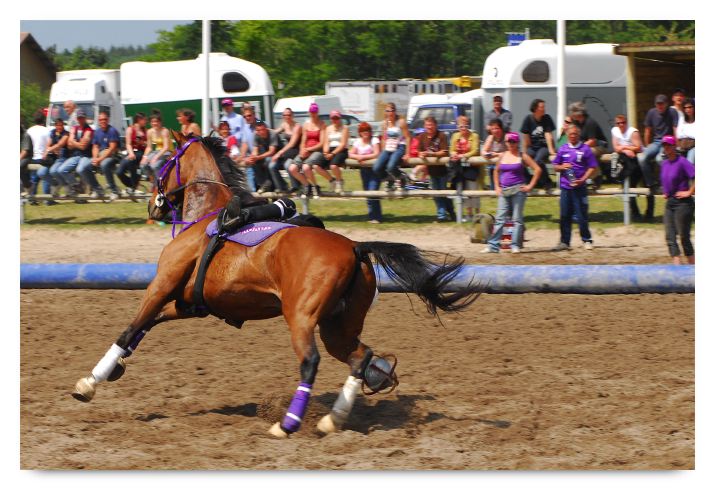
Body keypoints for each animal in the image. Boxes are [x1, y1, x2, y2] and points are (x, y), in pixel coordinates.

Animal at [71, 131, 481, 438]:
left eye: (166, 160)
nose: (151, 204)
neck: (206, 215)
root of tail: (355, 247)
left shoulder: (160, 287)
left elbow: (131, 328)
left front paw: (90, 382)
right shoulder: (188, 304)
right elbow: (144, 328)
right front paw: (115, 368)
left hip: (300, 317)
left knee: (311, 362)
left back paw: (289, 424)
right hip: (338, 326)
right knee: (359, 357)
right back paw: (333, 418)